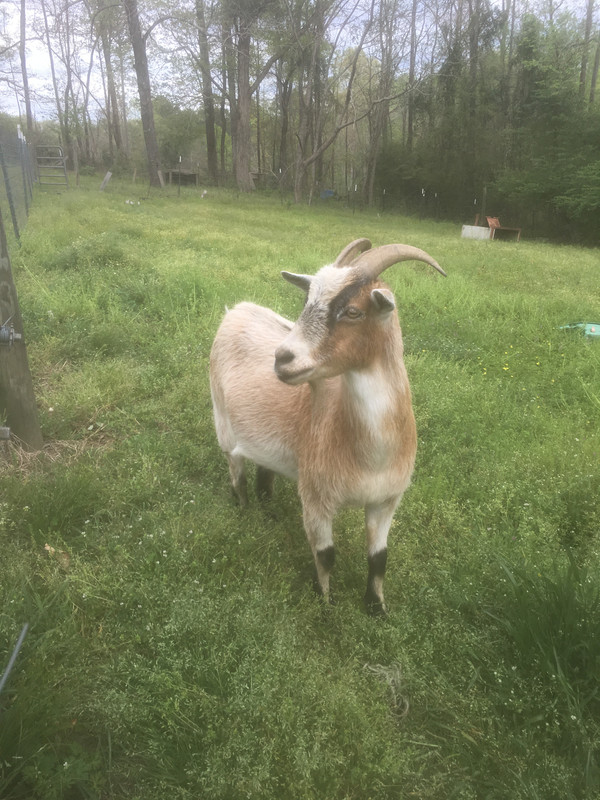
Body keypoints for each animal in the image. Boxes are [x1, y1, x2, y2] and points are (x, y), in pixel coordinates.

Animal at [209, 238, 446, 613]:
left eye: (353, 311)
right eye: (306, 303)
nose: (282, 358)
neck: (369, 455)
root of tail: (237, 310)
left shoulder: (386, 501)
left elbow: (380, 558)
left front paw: (376, 609)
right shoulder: (316, 496)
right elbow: (325, 555)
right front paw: (325, 606)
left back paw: (268, 509)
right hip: (222, 423)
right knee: (236, 470)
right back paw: (245, 510)